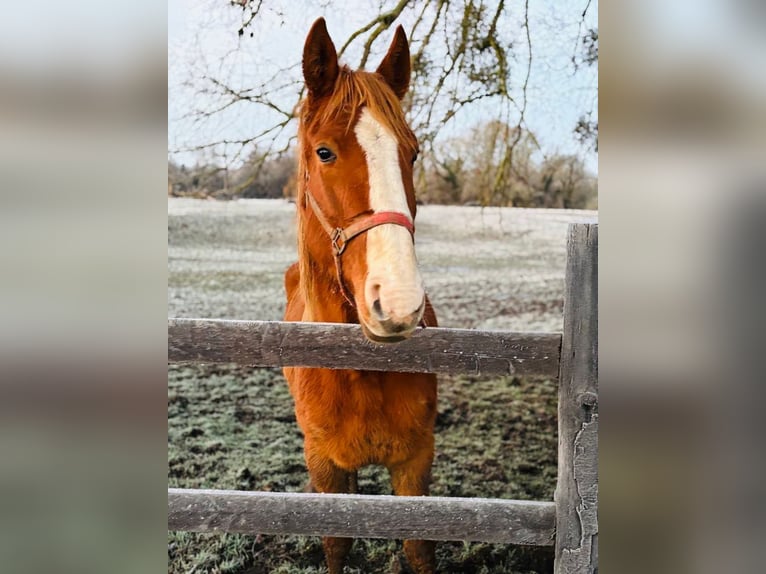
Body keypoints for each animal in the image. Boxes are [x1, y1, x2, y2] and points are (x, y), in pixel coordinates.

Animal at [282, 15, 438, 574]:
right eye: (324, 152)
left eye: (412, 152)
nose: (398, 301)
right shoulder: (326, 466)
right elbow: (337, 544)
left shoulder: (416, 460)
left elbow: (418, 547)